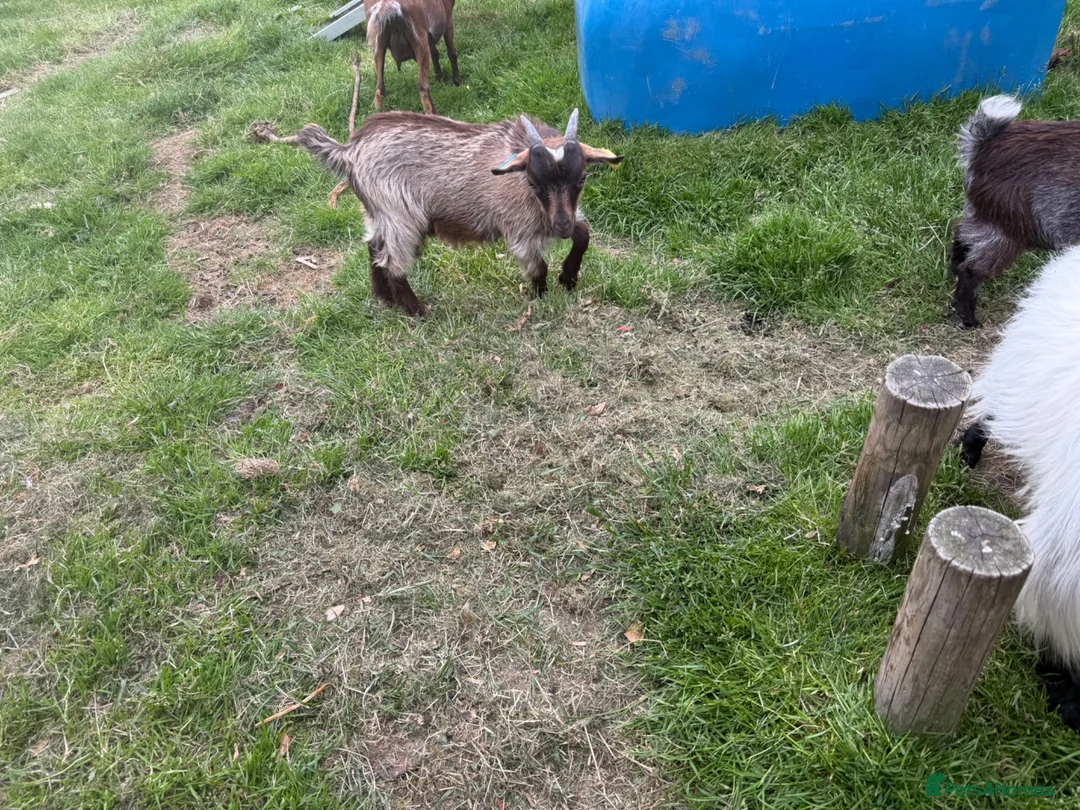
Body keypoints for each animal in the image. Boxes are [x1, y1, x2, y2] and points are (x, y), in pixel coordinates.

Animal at [250, 107, 623, 316]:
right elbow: (539, 266)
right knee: (393, 262)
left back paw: (384, 299)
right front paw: (542, 296)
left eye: (582, 178)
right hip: (401, 216)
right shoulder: (519, 229)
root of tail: (349, 150)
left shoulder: (562, 215)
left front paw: (569, 277)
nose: (560, 228)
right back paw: (417, 312)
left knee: (373, 247)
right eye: (533, 181)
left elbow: (584, 234)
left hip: (376, 213)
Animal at [950, 94, 1080, 328]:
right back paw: (968, 317)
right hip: (1010, 231)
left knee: (962, 233)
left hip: (988, 217)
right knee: (972, 268)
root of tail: (981, 146)